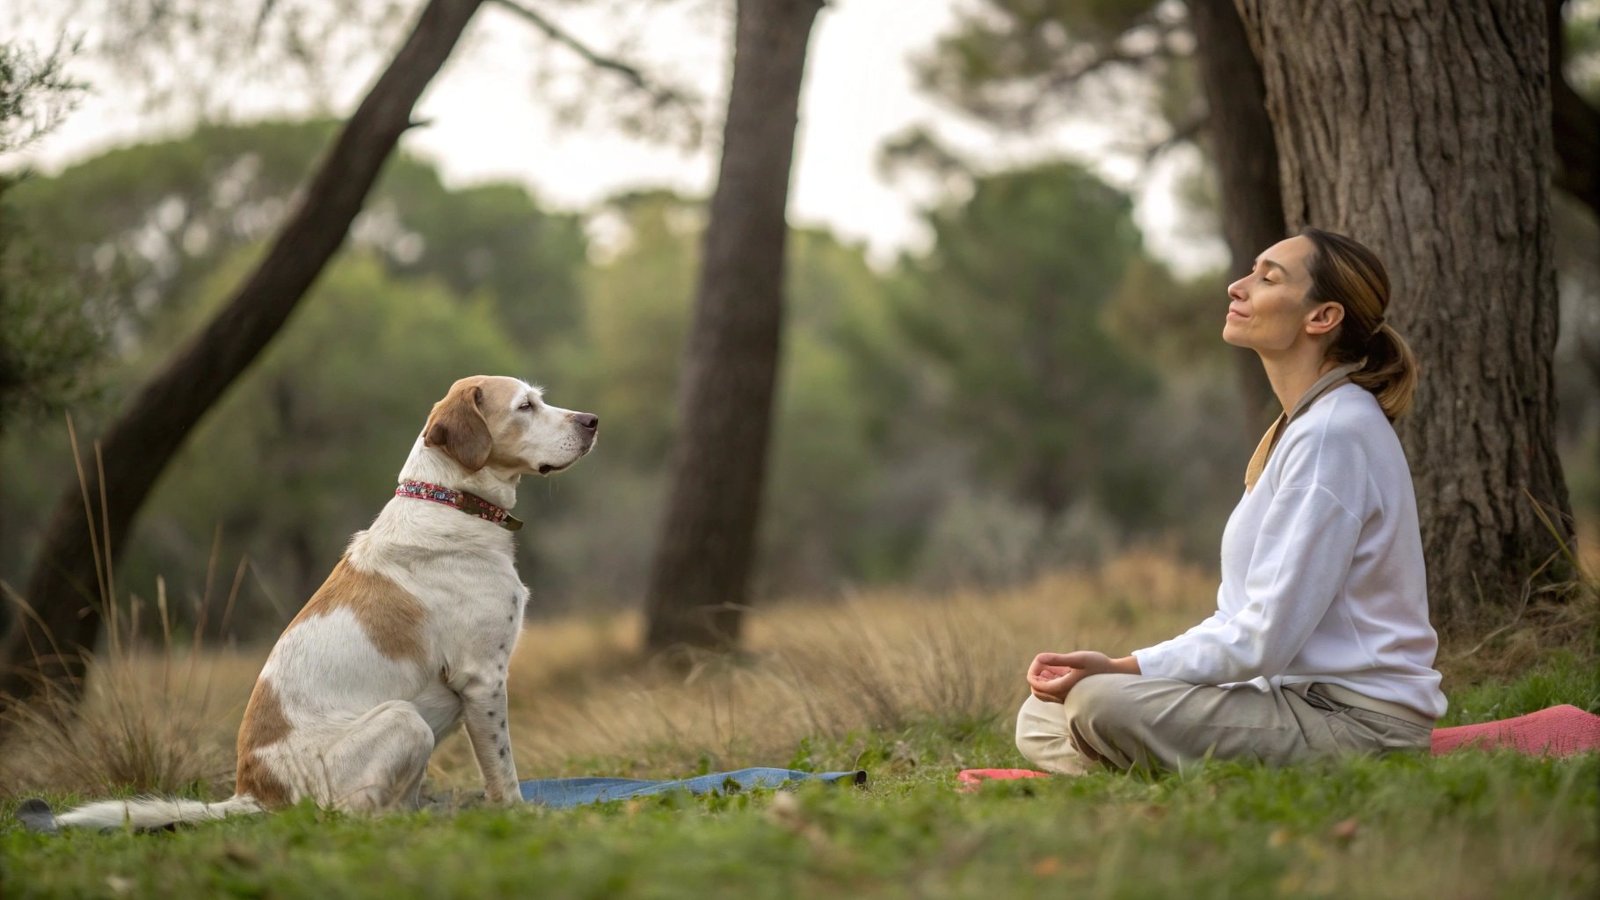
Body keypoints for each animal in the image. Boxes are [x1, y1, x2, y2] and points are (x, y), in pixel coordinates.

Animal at [29, 373, 595, 826]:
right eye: (524, 406)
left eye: (540, 399)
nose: (592, 420)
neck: (452, 502)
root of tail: (254, 794)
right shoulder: (483, 679)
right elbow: (502, 768)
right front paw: (519, 813)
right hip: (405, 721)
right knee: (349, 814)